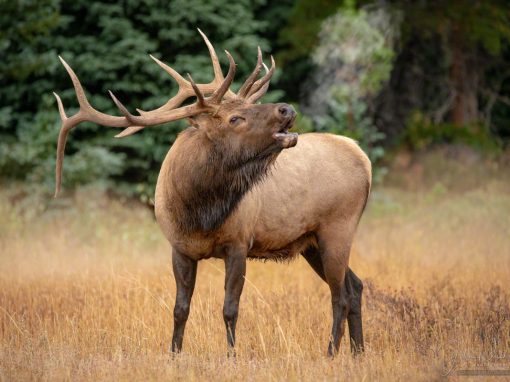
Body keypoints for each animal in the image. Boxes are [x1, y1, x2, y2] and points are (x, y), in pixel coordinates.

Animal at [52, 29, 370, 358]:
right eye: (235, 118)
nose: (287, 108)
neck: (199, 211)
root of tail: (363, 156)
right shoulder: (179, 248)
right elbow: (180, 308)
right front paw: (174, 353)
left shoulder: (239, 243)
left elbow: (230, 309)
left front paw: (231, 356)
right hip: (311, 242)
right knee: (355, 286)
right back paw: (358, 353)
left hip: (337, 227)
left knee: (339, 295)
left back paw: (331, 353)